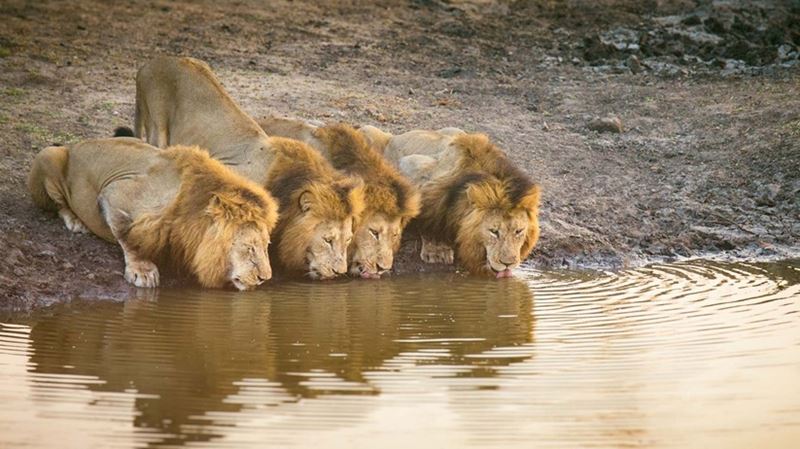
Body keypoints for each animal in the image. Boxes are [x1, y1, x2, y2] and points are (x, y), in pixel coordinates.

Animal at [27, 137, 279, 290]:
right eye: (249, 248)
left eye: (266, 246)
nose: (265, 279)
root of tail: (75, 144)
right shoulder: (114, 193)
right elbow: (128, 235)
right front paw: (142, 269)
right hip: (48, 154)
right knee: (58, 204)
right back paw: (75, 221)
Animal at [362, 127, 542, 278]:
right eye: (493, 231)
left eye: (518, 231)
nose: (508, 264)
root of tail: (395, 136)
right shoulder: (413, 167)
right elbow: (426, 218)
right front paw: (437, 251)